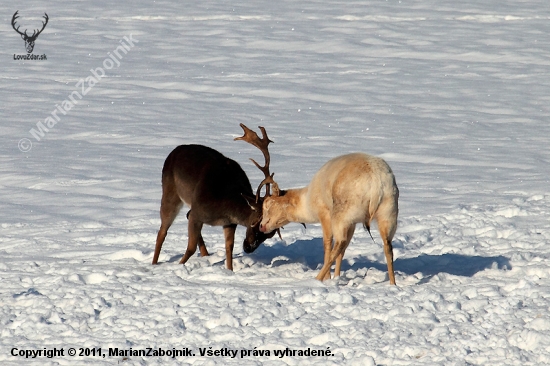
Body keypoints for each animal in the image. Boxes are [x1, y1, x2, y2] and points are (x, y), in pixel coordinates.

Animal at [152, 124, 278, 270]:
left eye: (270, 235)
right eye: (257, 225)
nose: (248, 248)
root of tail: (172, 152)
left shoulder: (229, 223)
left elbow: (229, 247)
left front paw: (230, 270)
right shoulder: (198, 212)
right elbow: (190, 248)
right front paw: (179, 265)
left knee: (185, 216)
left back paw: (206, 254)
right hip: (170, 192)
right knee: (162, 231)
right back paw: (154, 263)